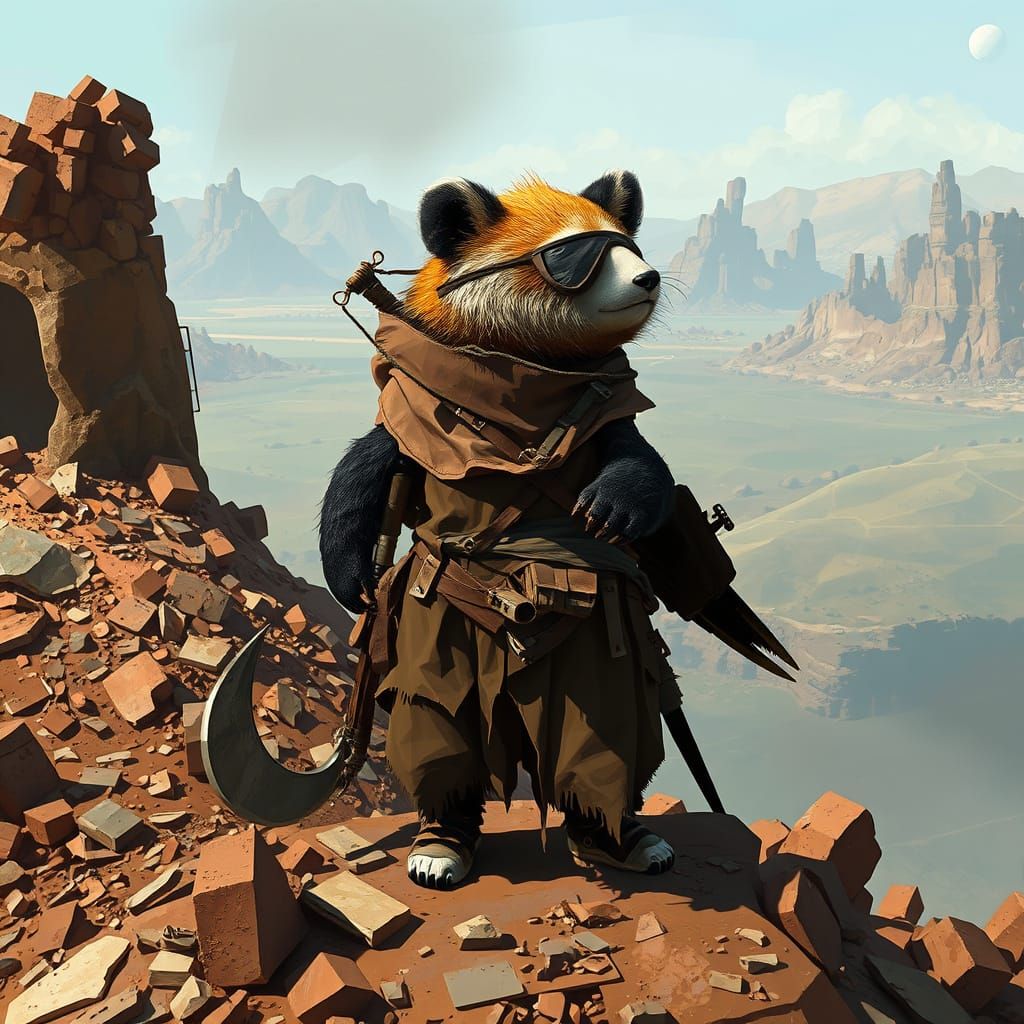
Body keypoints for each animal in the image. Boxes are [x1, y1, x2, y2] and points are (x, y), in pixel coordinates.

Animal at [320, 171, 681, 890]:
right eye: (569, 255)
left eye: (626, 244)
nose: (649, 275)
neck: (520, 372)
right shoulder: (411, 408)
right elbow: (366, 470)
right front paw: (350, 574)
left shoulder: (609, 416)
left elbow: (641, 463)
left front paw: (613, 506)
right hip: (436, 634)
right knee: (438, 718)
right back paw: (441, 841)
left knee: (605, 725)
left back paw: (618, 835)